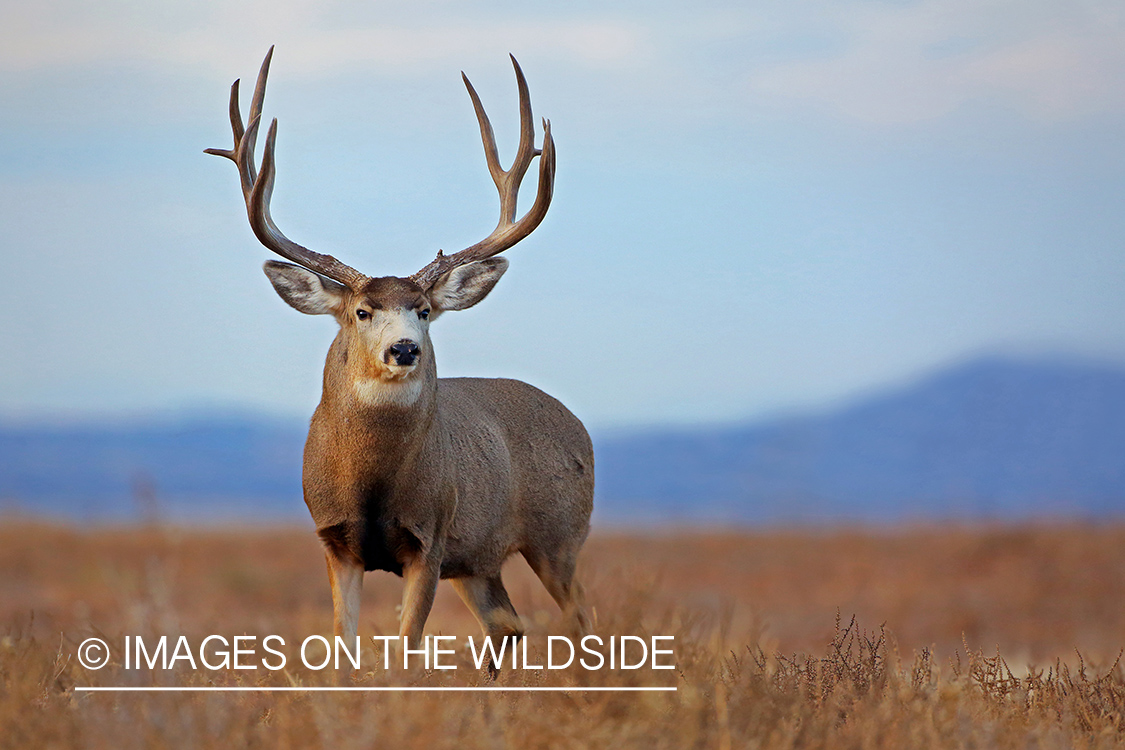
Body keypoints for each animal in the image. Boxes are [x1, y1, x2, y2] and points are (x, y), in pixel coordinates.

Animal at [205, 48, 593, 657]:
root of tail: (578, 426)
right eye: (362, 312)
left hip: (559, 536)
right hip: (479, 561)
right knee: (507, 624)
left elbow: (407, 649)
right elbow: (342, 647)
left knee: (580, 619)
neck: (372, 483)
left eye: (425, 310)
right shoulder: (336, 541)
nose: (404, 348)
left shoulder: (430, 540)